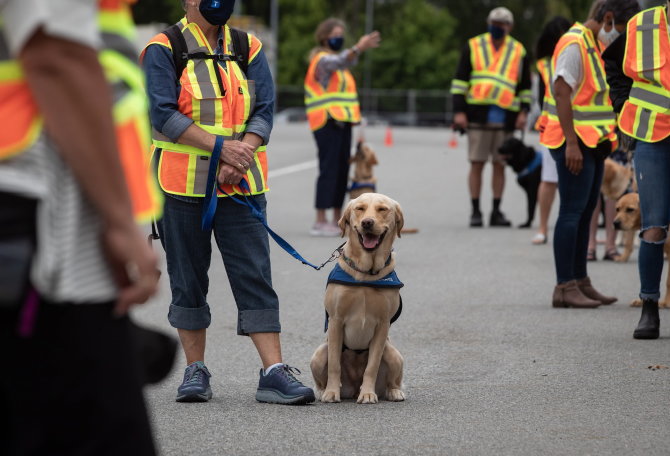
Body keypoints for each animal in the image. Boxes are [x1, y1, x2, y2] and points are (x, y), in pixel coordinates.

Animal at [312, 192, 406, 402]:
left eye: (382, 209)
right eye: (360, 208)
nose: (367, 223)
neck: (366, 273)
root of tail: (353, 388)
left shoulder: (383, 324)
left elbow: (372, 366)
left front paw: (368, 394)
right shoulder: (336, 321)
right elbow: (334, 365)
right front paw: (331, 392)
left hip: (394, 354)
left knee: (393, 380)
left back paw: (393, 391)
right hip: (319, 355)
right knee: (321, 374)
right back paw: (322, 391)